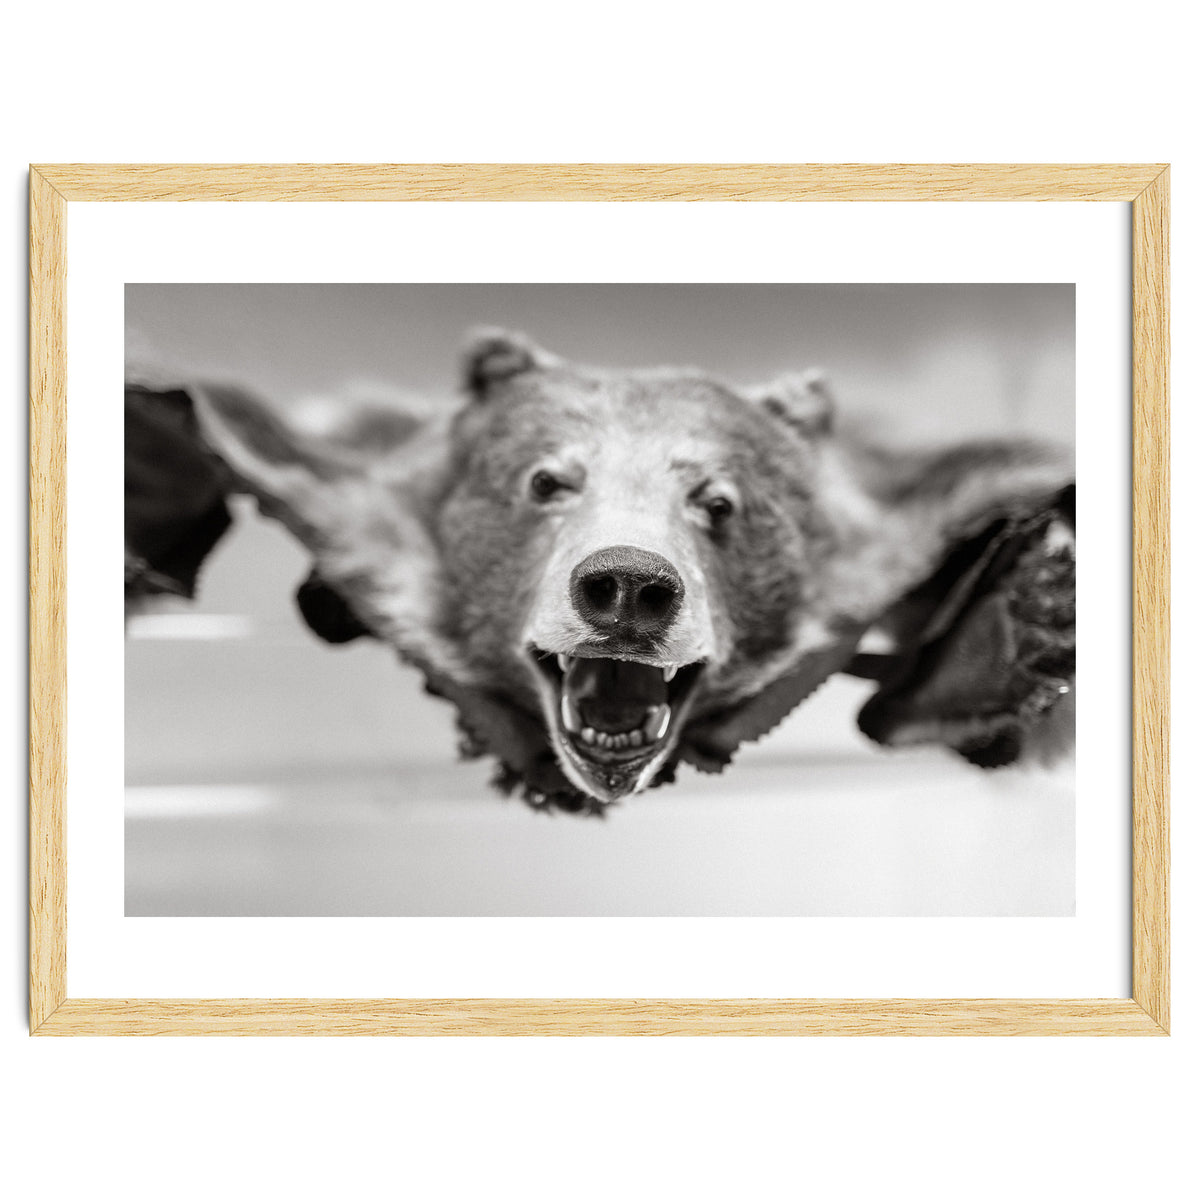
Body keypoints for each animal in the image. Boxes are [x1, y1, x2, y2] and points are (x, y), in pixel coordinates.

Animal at [127, 330, 1076, 812]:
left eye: (718, 500)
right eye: (546, 480)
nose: (627, 586)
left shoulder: (906, 523)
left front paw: (1037, 618)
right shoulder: (335, 497)